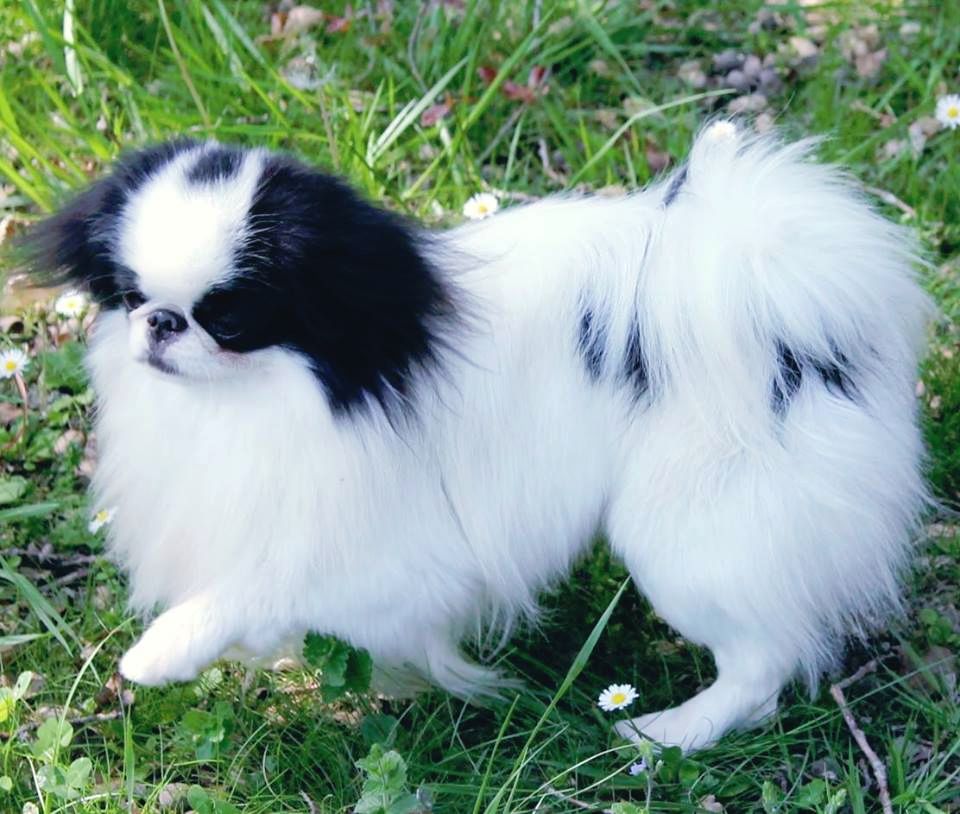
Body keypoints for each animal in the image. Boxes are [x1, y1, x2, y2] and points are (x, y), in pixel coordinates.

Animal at [24, 122, 930, 752]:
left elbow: (260, 587)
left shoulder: (396, 563)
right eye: (128, 293)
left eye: (232, 317)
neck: (266, 398)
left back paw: (670, 733)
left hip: (689, 539)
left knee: (763, 664)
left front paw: (164, 651)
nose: (161, 324)